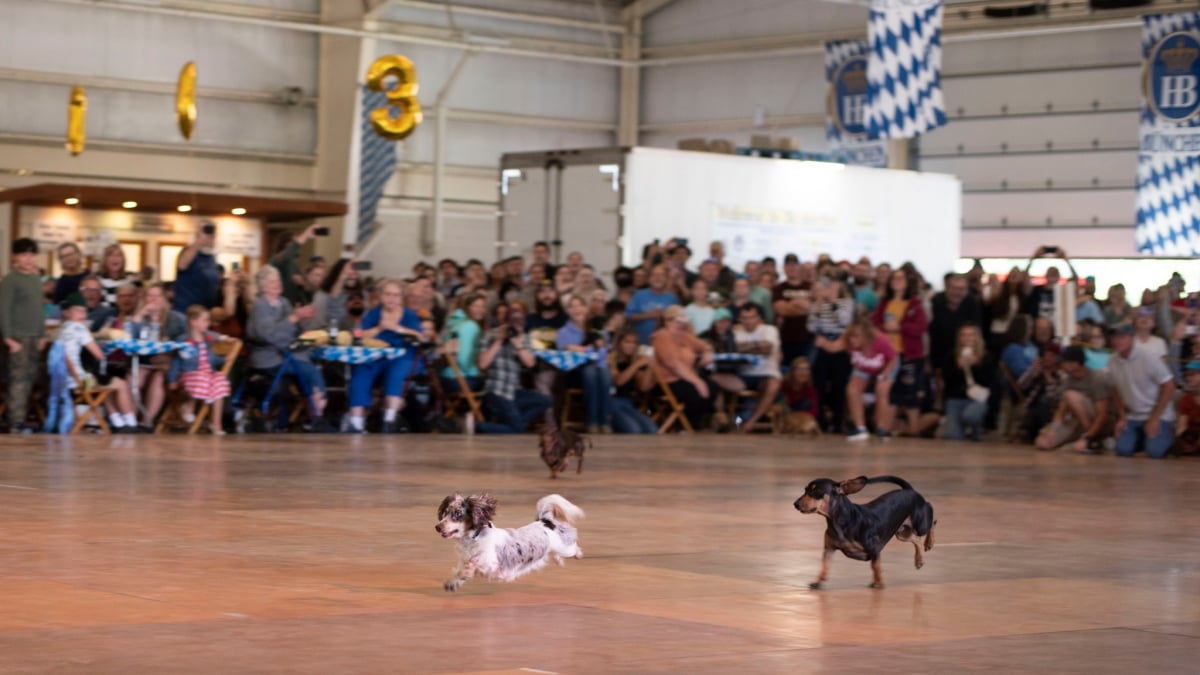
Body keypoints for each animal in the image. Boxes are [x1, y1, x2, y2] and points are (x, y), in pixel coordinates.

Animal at [434, 487, 583, 588]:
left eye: (457, 514)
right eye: (445, 513)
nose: (437, 527)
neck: (473, 539)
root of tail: (545, 521)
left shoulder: (493, 565)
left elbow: (474, 562)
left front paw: (466, 570)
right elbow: (459, 572)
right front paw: (453, 583)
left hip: (565, 548)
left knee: (574, 546)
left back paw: (578, 554)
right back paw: (559, 560)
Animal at [796, 473, 936, 588]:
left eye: (816, 491)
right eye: (805, 490)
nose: (795, 504)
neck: (841, 521)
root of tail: (910, 490)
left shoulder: (874, 549)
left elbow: (875, 566)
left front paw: (878, 582)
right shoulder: (829, 549)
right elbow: (825, 565)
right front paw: (818, 581)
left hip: (921, 524)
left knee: (933, 521)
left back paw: (929, 543)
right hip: (901, 533)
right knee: (916, 539)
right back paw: (919, 560)